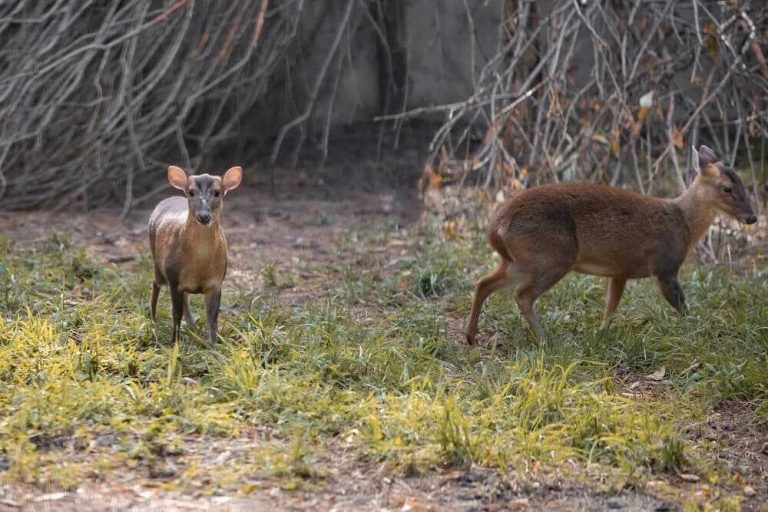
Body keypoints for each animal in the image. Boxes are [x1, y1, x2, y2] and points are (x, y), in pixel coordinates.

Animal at [150, 166, 243, 346]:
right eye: (191, 192)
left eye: (217, 192)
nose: (204, 216)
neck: (201, 264)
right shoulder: (174, 277)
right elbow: (176, 313)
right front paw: (175, 343)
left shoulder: (216, 282)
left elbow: (212, 317)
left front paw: (213, 344)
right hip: (157, 262)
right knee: (156, 283)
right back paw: (152, 318)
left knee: (186, 299)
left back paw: (192, 326)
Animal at [464, 144, 760, 344]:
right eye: (727, 188)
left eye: (743, 184)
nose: (753, 217)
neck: (684, 223)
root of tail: (496, 226)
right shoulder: (665, 266)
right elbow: (681, 306)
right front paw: (694, 332)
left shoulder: (620, 271)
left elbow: (611, 305)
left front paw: (601, 332)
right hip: (553, 255)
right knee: (522, 295)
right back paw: (546, 339)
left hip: (519, 260)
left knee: (483, 283)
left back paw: (470, 336)